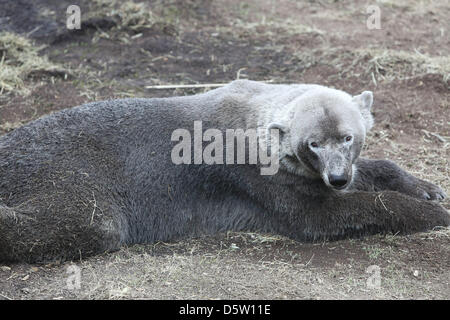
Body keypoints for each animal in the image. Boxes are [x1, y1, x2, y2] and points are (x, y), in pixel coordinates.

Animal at [0, 80, 448, 262]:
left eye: (348, 137)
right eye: (313, 144)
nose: (336, 178)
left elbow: (371, 171)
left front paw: (427, 189)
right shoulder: (255, 175)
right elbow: (320, 216)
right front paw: (433, 213)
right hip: (64, 173)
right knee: (88, 223)